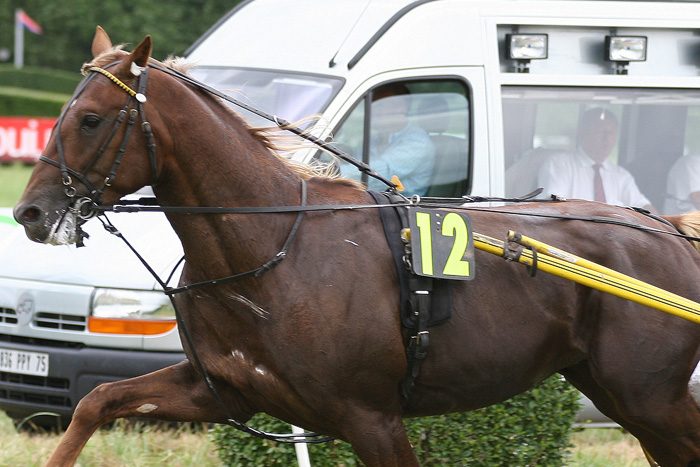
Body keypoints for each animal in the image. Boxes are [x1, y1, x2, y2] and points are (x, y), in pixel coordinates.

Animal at [13, 28, 700, 466]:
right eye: (64, 111)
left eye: (92, 119)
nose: (29, 212)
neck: (269, 249)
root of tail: (671, 231)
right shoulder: (223, 390)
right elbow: (96, 401)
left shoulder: (371, 419)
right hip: (622, 393)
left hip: (649, 398)